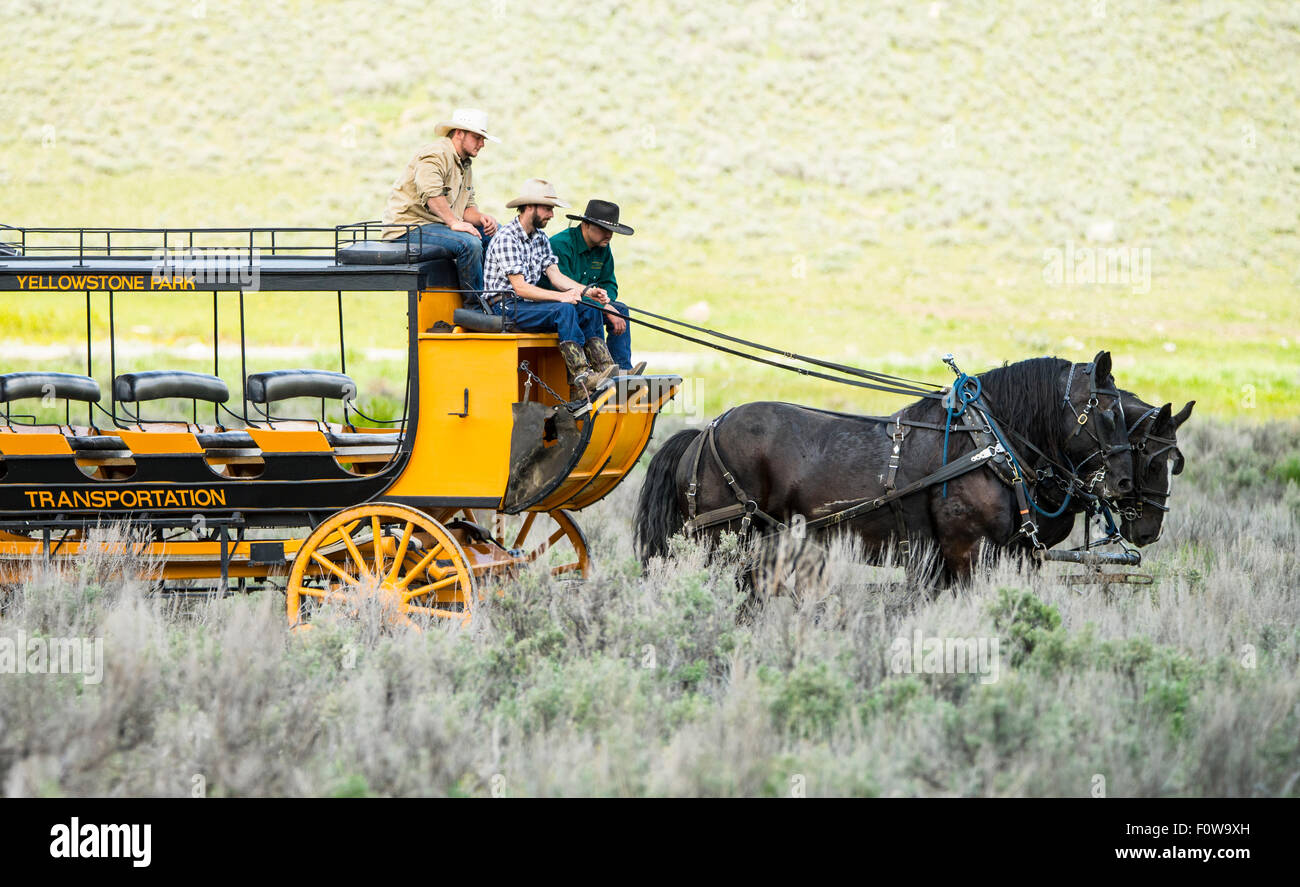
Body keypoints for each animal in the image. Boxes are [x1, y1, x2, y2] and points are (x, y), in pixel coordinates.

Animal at [634, 348, 1133, 582]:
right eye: (1106, 409)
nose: (1125, 480)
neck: (983, 442)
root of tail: (705, 431)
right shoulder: (966, 552)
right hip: (719, 541)